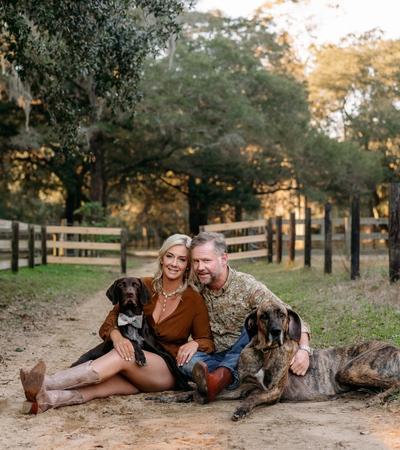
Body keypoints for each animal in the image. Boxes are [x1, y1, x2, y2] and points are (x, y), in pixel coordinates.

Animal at [220, 299, 400, 421]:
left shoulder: (274, 391)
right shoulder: (243, 385)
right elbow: (224, 393)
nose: (276, 331)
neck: (265, 352)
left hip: (349, 370)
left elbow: (252, 397)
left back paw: (376, 398)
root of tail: (396, 348)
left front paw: (241, 409)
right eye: (263, 316)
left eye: (282, 315)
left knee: (396, 383)